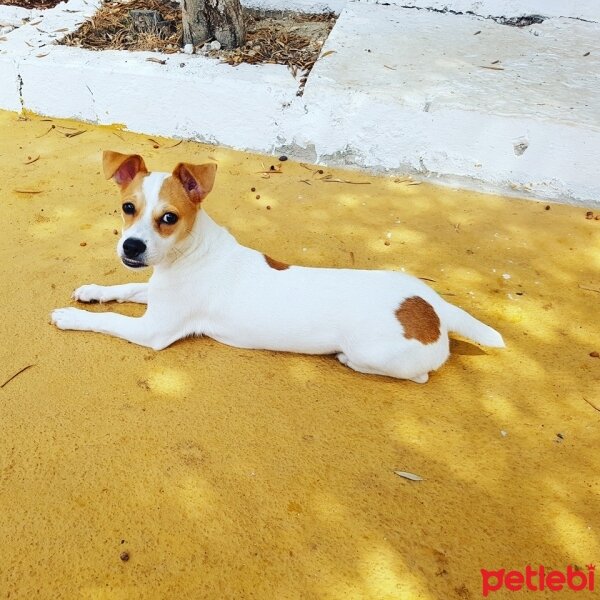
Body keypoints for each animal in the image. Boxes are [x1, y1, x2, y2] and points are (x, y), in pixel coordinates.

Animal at [51, 151, 504, 384]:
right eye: (128, 208)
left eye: (169, 218)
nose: (131, 245)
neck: (190, 252)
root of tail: (433, 307)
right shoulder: (157, 294)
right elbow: (124, 289)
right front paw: (92, 291)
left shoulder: (154, 329)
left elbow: (107, 320)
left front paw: (70, 316)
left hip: (378, 353)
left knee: (418, 376)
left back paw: (348, 361)